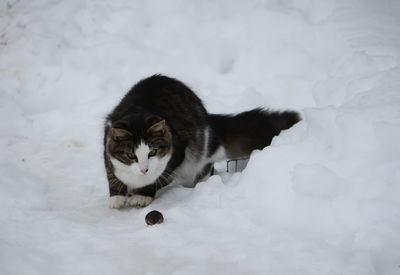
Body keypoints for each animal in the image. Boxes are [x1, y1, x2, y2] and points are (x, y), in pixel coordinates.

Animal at [104, 75, 300, 209]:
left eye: (152, 152)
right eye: (131, 155)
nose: (144, 169)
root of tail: (207, 117)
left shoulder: (178, 153)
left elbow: (158, 178)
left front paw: (142, 196)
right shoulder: (107, 142)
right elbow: (111, 173)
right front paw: (117, 197)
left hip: (199, 150)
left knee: (207, 165)